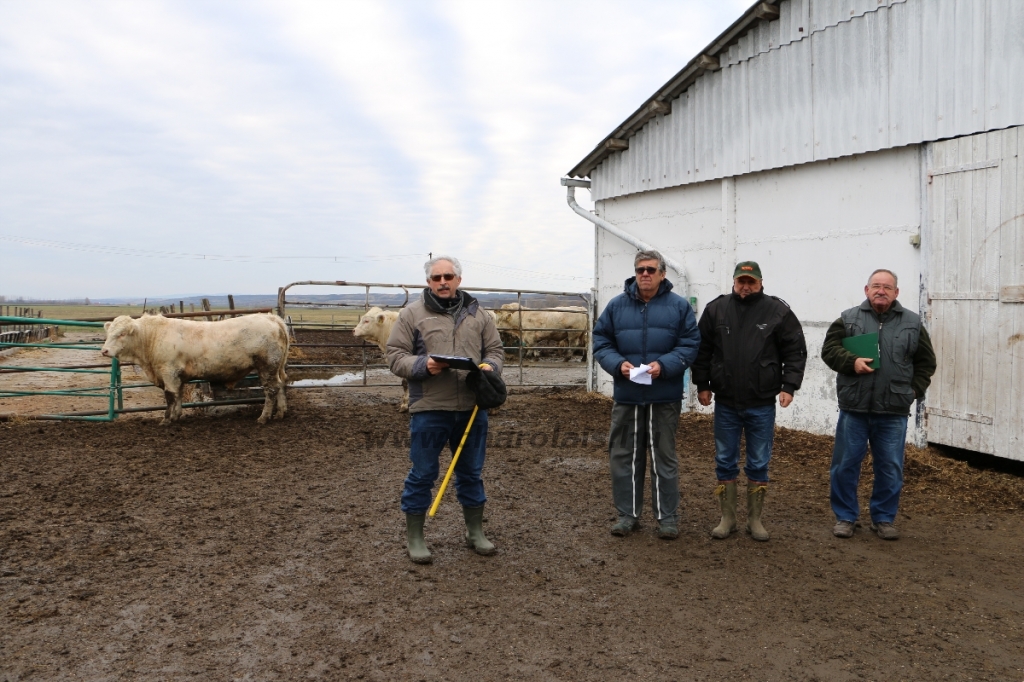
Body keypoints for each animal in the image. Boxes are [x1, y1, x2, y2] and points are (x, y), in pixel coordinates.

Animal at [101, 311, 288, 419]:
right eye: (109, 333)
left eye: (121, 334)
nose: (104, 351)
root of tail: (270, 317)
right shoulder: (177, 376)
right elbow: (178, 395)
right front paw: (176, 416)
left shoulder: (168, 372)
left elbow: (170, 396)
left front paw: (167, 419)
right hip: (275, 369)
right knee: (279, 386)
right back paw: (280, 413)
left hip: (267, 366)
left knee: (271, 390)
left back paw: (264, 417)